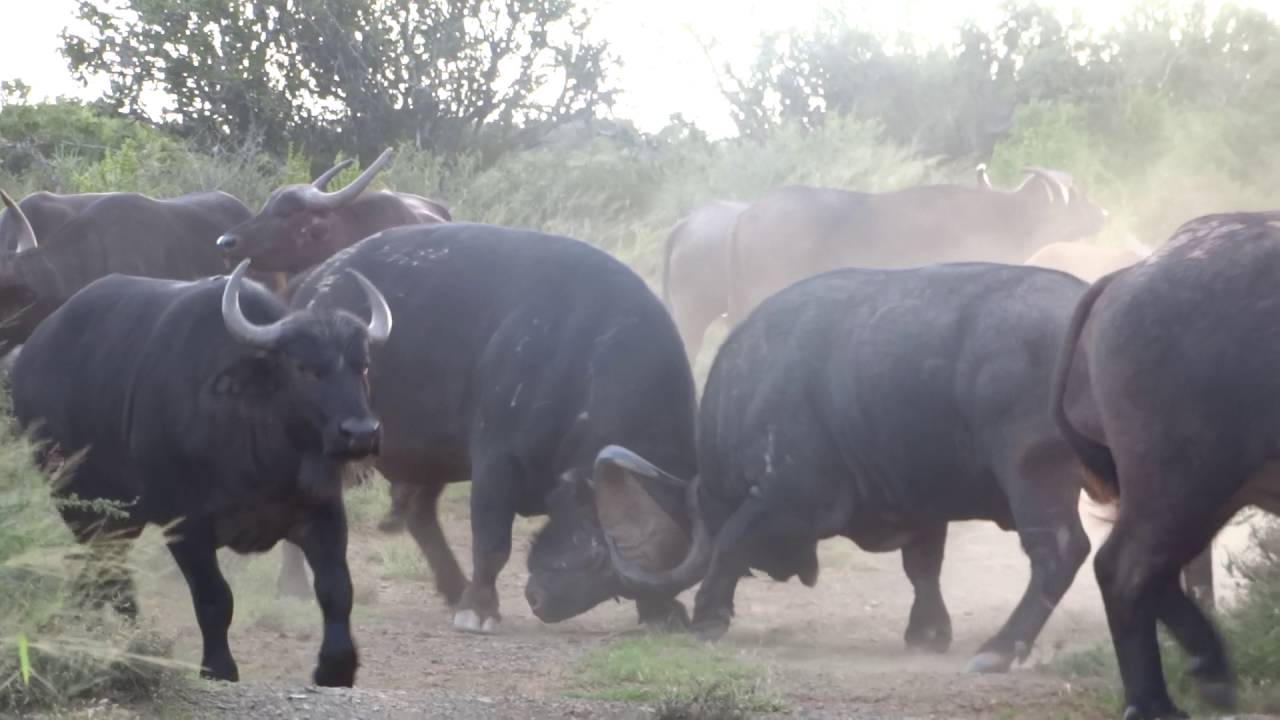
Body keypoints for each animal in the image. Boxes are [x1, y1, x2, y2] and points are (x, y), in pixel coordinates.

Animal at [11, 259, 392, 686]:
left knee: (101, 569)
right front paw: (219, 667)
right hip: (76, 500)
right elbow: (214, 598)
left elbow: (336, 589)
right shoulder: (185, 525)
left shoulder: (323, 510)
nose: (361, 433)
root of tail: (29, 356)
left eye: (362, 366)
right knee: (110, 570)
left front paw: (336, 667)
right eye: (304, 368)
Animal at [288, 223, 698, 633]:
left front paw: (661, 609)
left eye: (618, 587)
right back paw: (295, 588)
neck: (586, 356)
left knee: (419, 514)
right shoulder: (496, 462)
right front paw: (480, 608)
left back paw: (454, 586)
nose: (542, 603)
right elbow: (492, 543)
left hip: (433, 453)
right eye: (595, 550)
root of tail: (313, 285)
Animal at [603, 263, 1094, 674]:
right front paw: (927, 631)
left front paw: (708, 615)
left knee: (1060, 552)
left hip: (1033, 476)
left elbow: (729, 541)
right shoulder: (920, 502)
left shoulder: (787, 499)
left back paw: (1000, 648)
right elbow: (922, 567)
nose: (785, 569)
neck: (750, 390)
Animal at [1052, 211, 1280, 719]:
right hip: (1184, 482)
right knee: (1123, 569)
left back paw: (1207, 669)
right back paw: (1154, 700)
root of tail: (1129, 274)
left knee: (1155, 574)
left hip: (1206, 490)